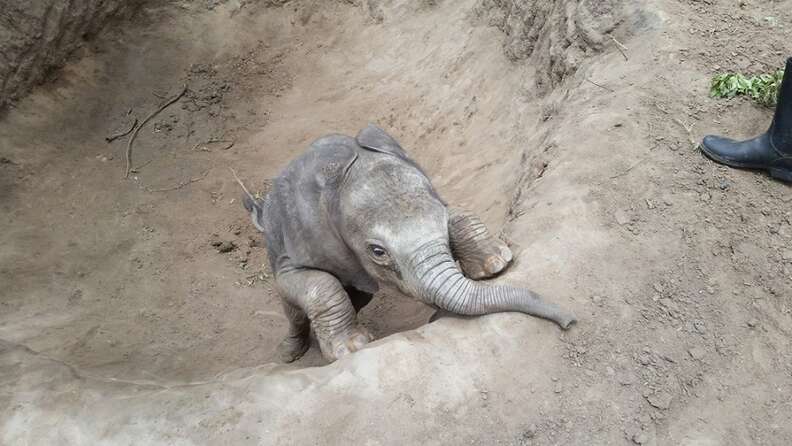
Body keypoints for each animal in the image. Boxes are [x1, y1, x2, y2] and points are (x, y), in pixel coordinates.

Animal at [239, 124, 576, 363]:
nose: (570, 320)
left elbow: (457, 214)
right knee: (294, 306)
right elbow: (316, 283)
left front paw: (496, 265)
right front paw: (353, 348)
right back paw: (289, 354)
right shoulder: (300, 242)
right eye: (378, 252)